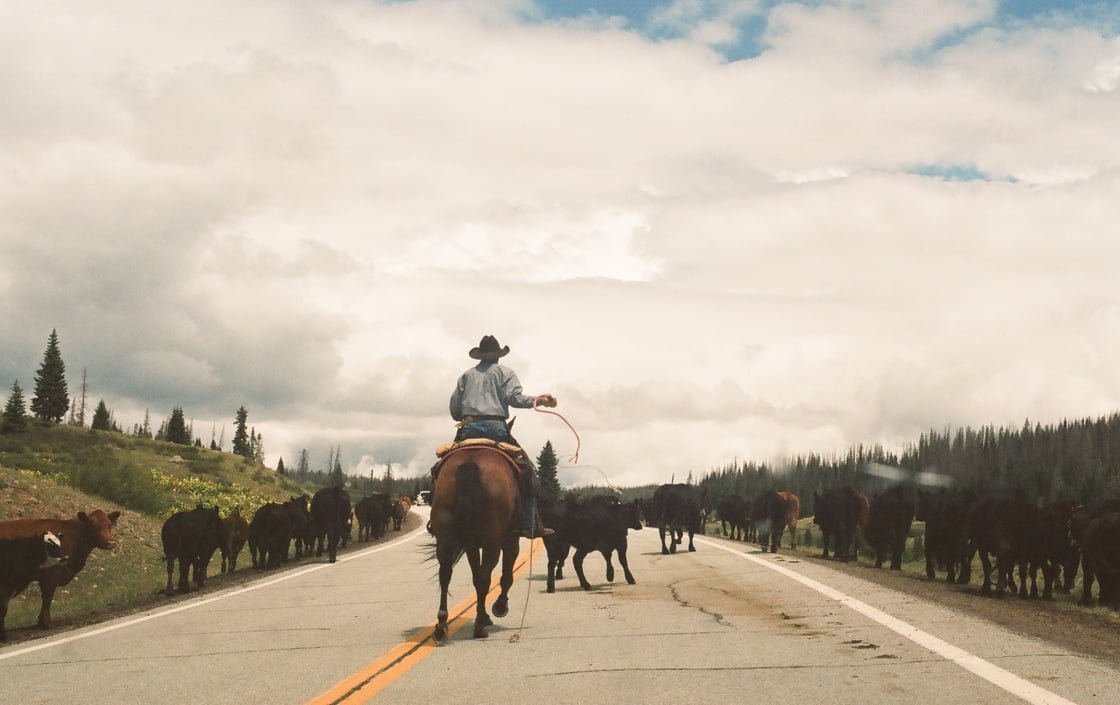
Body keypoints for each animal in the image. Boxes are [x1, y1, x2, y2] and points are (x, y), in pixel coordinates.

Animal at [430, 448, 521, 641]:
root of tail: (469, 463)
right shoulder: (511, 539)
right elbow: (506, 576)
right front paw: (499, 607)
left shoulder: (470, 545)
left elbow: (475, 576)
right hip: (492, 543)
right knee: (485, 578)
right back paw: (479, 626)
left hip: (445, 538)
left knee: (445, 574)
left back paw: (441, 625)